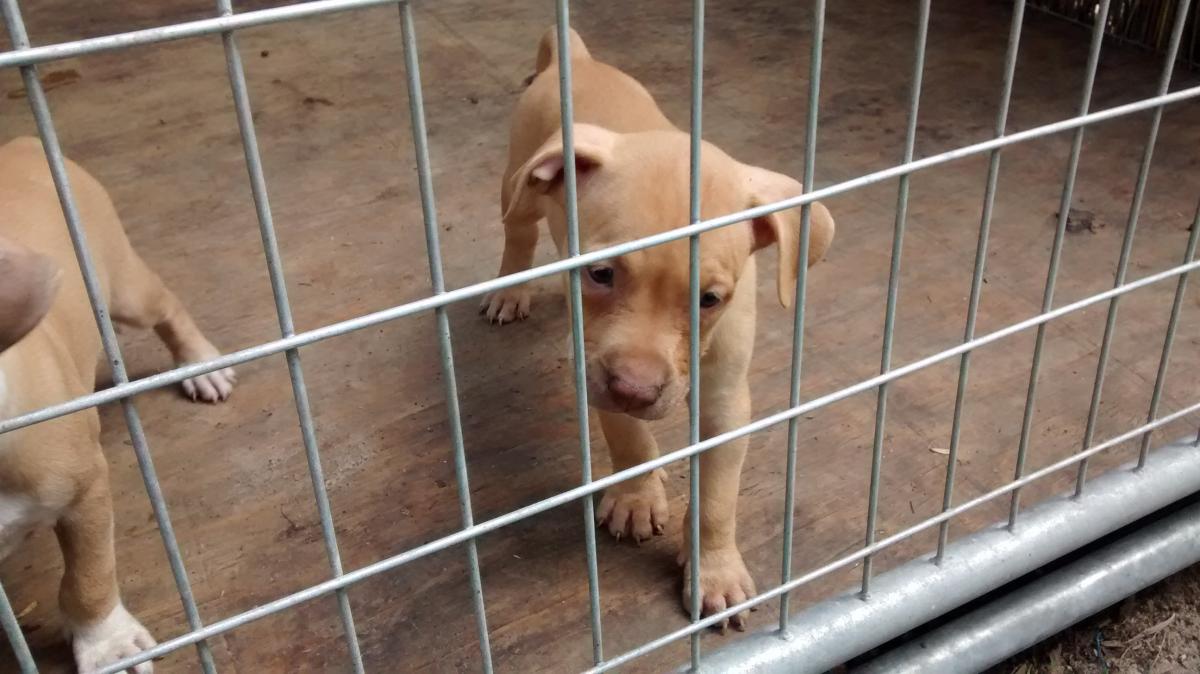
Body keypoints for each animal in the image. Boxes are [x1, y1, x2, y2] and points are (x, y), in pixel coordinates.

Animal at [0, 136, 236, 673]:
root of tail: (24, 143)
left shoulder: (83, 490)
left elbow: (87, 581)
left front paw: (107, 644)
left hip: (124, 288)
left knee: (167, 306)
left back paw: (200, 364)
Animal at [481, 29, 835, 629]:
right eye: (600, 273)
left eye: (709, 300)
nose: (635, 389)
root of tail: (579, 61)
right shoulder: (593, 359)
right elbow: (626, 434)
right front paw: (637, 494)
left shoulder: (725, 399)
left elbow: (717, 496)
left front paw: (714, 569)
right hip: (519, 180)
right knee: (519, 231)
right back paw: (511, 288)